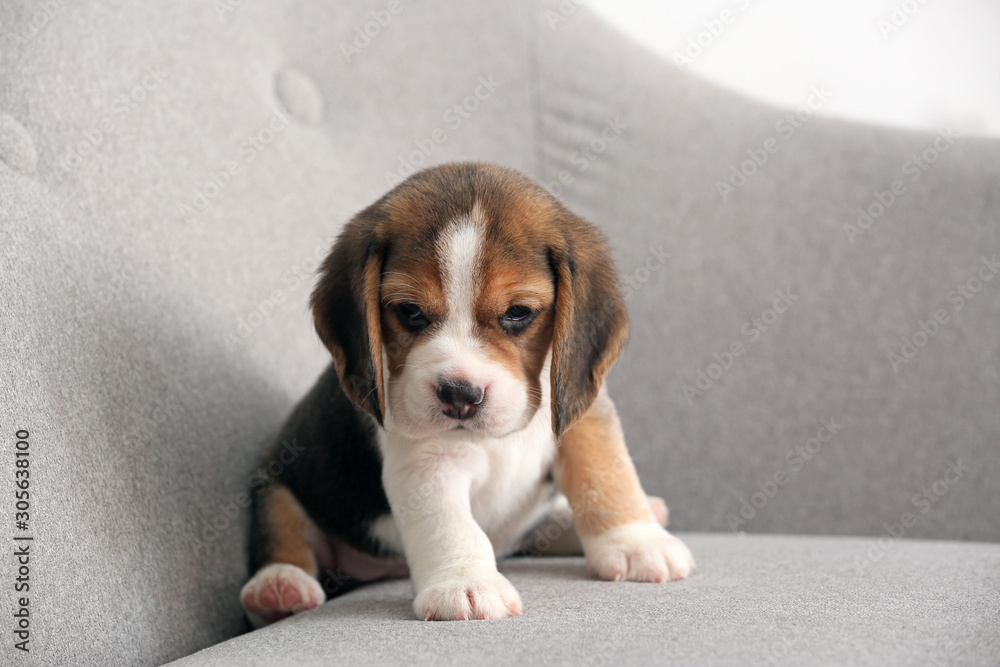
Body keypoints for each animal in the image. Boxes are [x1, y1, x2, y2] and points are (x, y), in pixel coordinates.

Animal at [242, 162, 696, 628]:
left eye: (518, 313)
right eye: (409, 311)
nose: (460, 394)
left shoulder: (582, 412)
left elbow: (605, 473)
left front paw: (636, 542)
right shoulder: (428, 462)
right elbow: (451, 524)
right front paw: (465, 584)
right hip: (277, 482)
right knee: (284, 536)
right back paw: (278, 588)